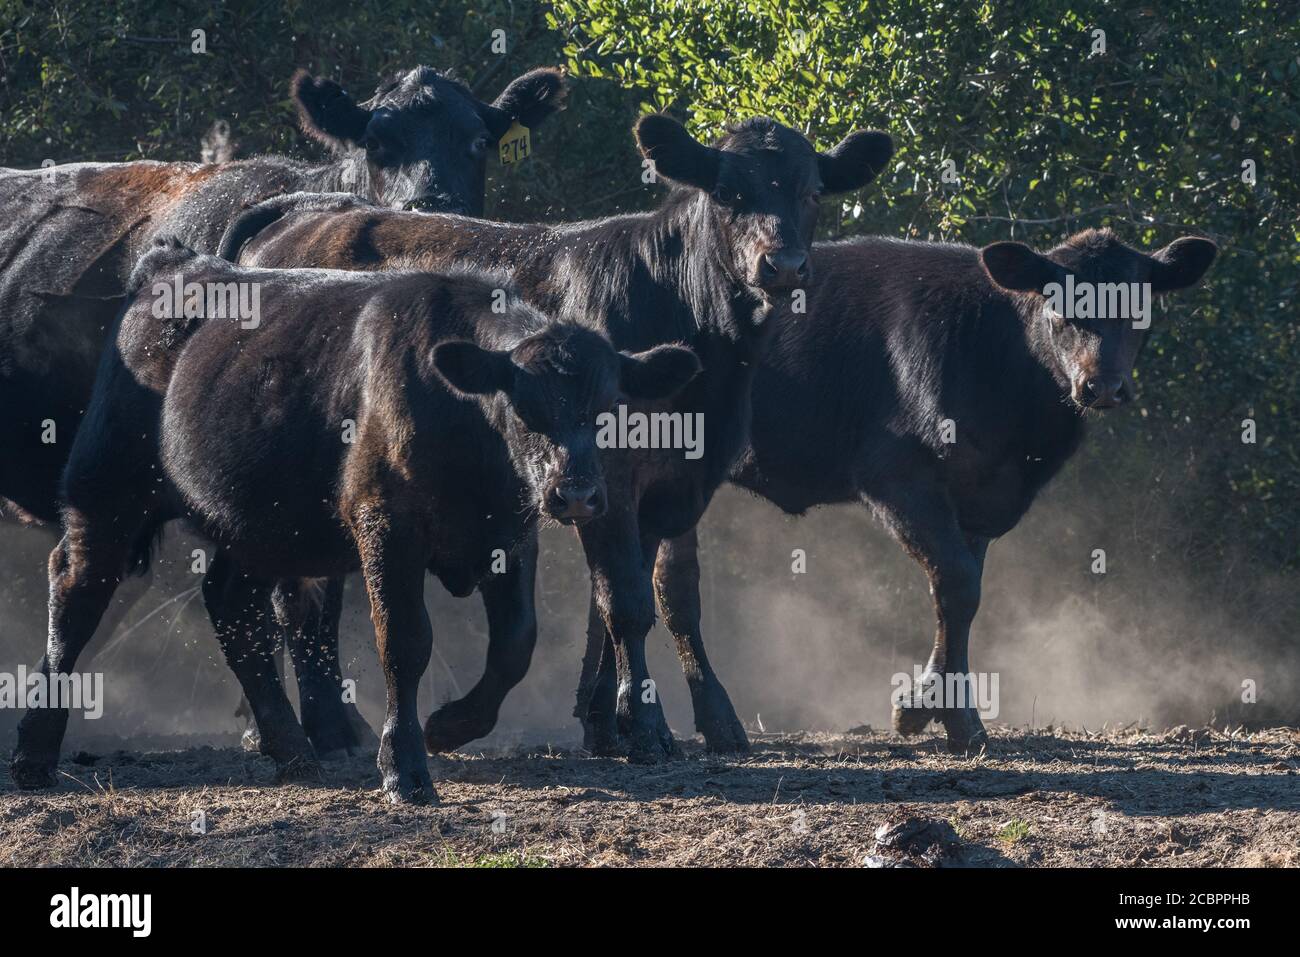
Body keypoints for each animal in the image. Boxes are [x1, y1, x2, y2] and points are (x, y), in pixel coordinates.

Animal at [0, 63, 566, 761]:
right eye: (376, 144)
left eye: (479, 142)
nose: (434, 211)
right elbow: (304, 604)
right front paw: (327, 724)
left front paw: (327, 724)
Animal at [10, 237, 701, 803]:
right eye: (520, 404)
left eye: (608, 406)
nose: (577, 494)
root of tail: (174, 265)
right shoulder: (386, 525)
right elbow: (405, 641)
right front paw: (405, 765)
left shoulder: (510, 532)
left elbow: (515, 643)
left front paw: (450, 726)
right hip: (106, 489)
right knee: (76, 590)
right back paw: (33, 753)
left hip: (262, 527)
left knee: (233, 605)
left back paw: (291, 748)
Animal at [216, 113, 894, 761]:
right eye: (727, 192)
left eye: (811, 192)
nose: (783, 266)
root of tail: (306, 210)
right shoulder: (608, 476)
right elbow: (625, 601)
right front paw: (646, 728)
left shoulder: (673, 481)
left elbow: (661, 595)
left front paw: (633, 721)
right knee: (295, 599)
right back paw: (321, 729)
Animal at [644, 228, 1217, 753]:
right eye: (1058, 305)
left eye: (1139, 306)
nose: (1101, 386)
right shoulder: (897, 475)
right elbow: (957, 583)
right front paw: (953, 718)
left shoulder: (977, 499)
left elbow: (962, 594)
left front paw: (930, 703)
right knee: (675, 586)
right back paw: (709, 721)